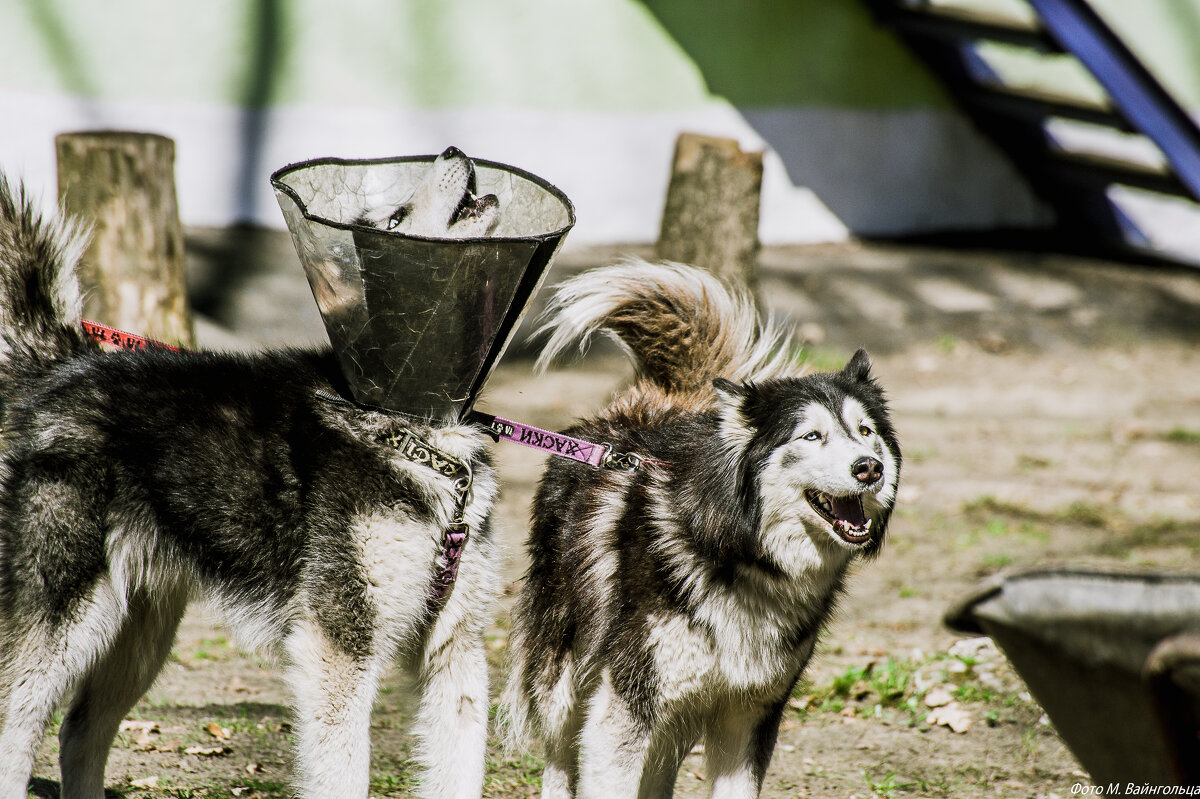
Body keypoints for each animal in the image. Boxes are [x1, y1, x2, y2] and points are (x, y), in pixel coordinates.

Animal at [0, 178, 499, 796]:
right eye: (394, 216)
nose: (458, 158)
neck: (418, 437)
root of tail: (71, 362)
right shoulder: (337, 645)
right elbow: (343, 772)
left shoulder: (456, 651)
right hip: (62, 619)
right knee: (18, 731)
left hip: (140, 633)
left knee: (79, 731)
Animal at [499, 261, 902, 796]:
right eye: (811, 436)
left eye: (865, 431)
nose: (869, 468)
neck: (743, 561)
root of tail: (652, 400)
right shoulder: (624, 707)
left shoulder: (749, 714)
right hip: (565, 684)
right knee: (559, 758)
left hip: (675, 719)